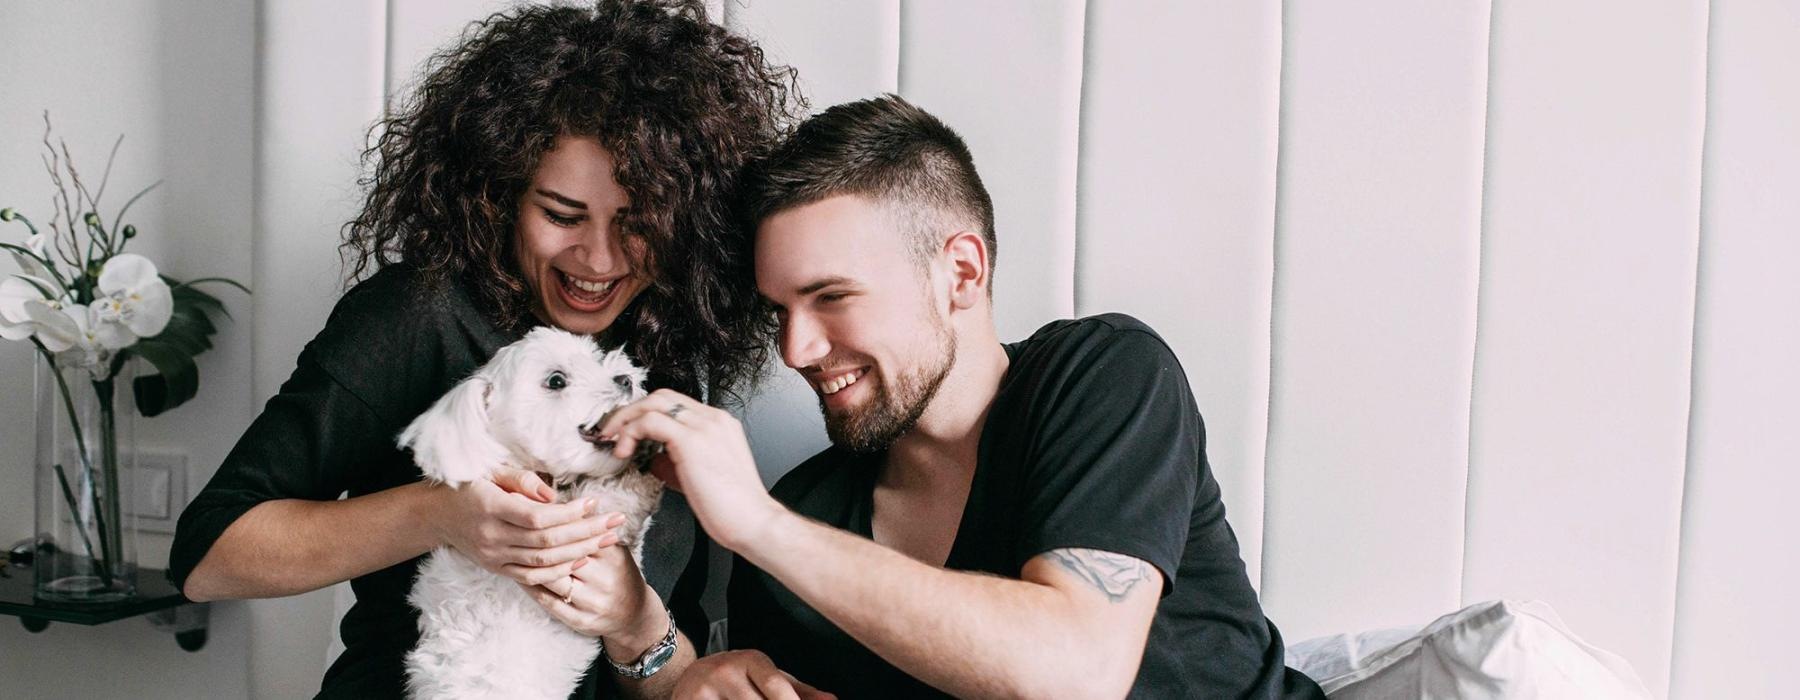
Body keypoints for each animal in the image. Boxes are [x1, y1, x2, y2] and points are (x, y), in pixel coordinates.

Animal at [397, 327, 666, 698]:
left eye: (593, 357)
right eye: (556, 381)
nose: (625, 378)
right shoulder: (583, 525)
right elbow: (616, 500)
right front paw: (644, 465)